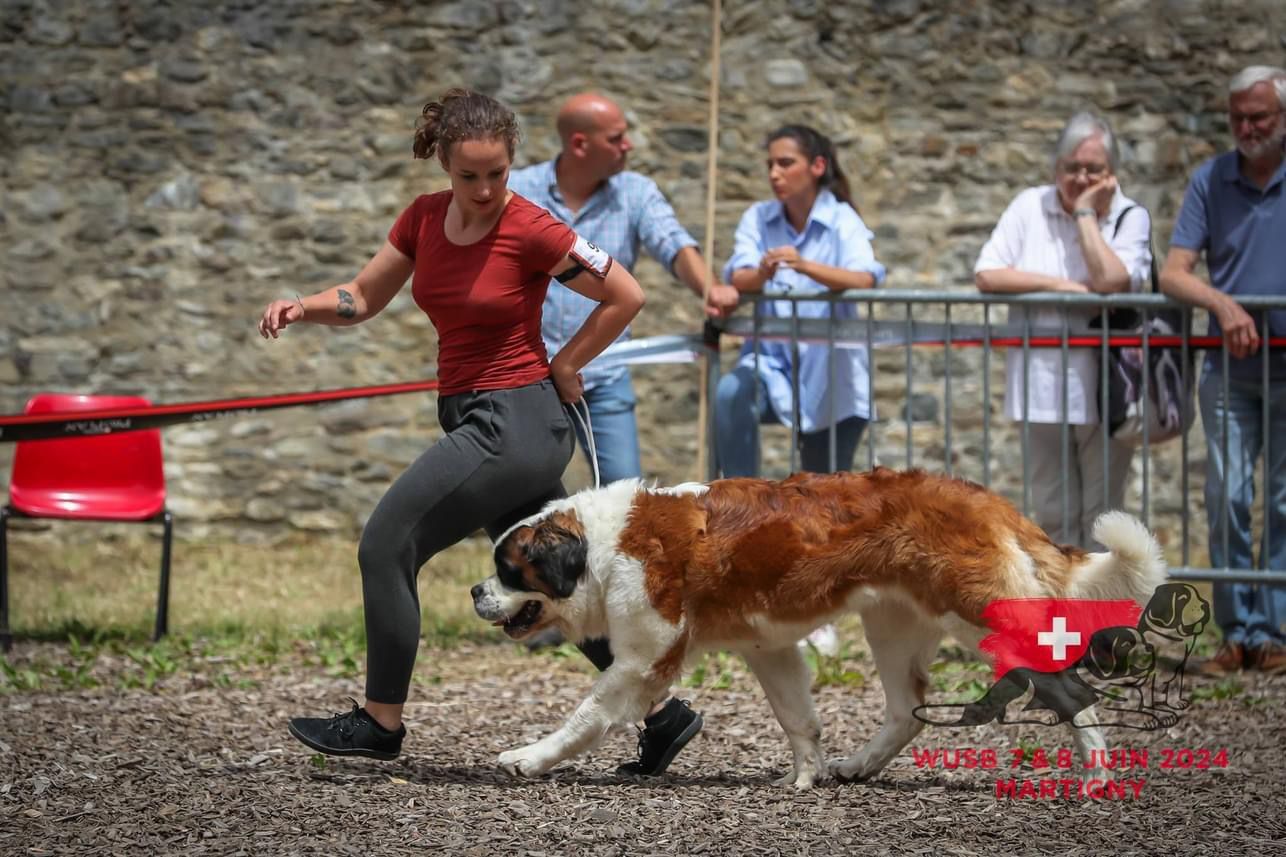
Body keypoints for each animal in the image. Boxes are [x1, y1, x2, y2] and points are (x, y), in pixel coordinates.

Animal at [470, 468, 1167, 788]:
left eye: (508, 570)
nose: (477, 591)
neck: (603, 545)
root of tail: (986, 499)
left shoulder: (644, 658)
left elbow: (586, 713)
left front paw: (530, 757)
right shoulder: (768, 647)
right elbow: (797, 718)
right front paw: (805, 777)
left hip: (981, 617)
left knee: (1072, 691)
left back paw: (1096, 776)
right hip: (892, 624)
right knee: (905, 708)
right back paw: (858, 766)